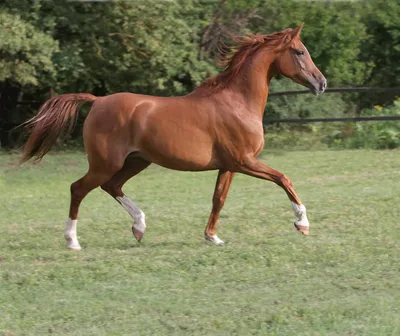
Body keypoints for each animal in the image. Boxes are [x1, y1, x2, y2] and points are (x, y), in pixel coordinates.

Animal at [21, 24, 324, 249]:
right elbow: (284, 178)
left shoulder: (229, 166)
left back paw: (139, 227)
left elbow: (218, 199)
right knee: (79, 189)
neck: (237, 102)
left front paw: (212, 237)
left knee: (112, 186)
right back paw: (73, 241)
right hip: (105, 163)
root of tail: (98, 101)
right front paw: (302, 224)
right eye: (300, 51)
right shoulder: (244, 161)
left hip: (136, 161)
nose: (321, 83)